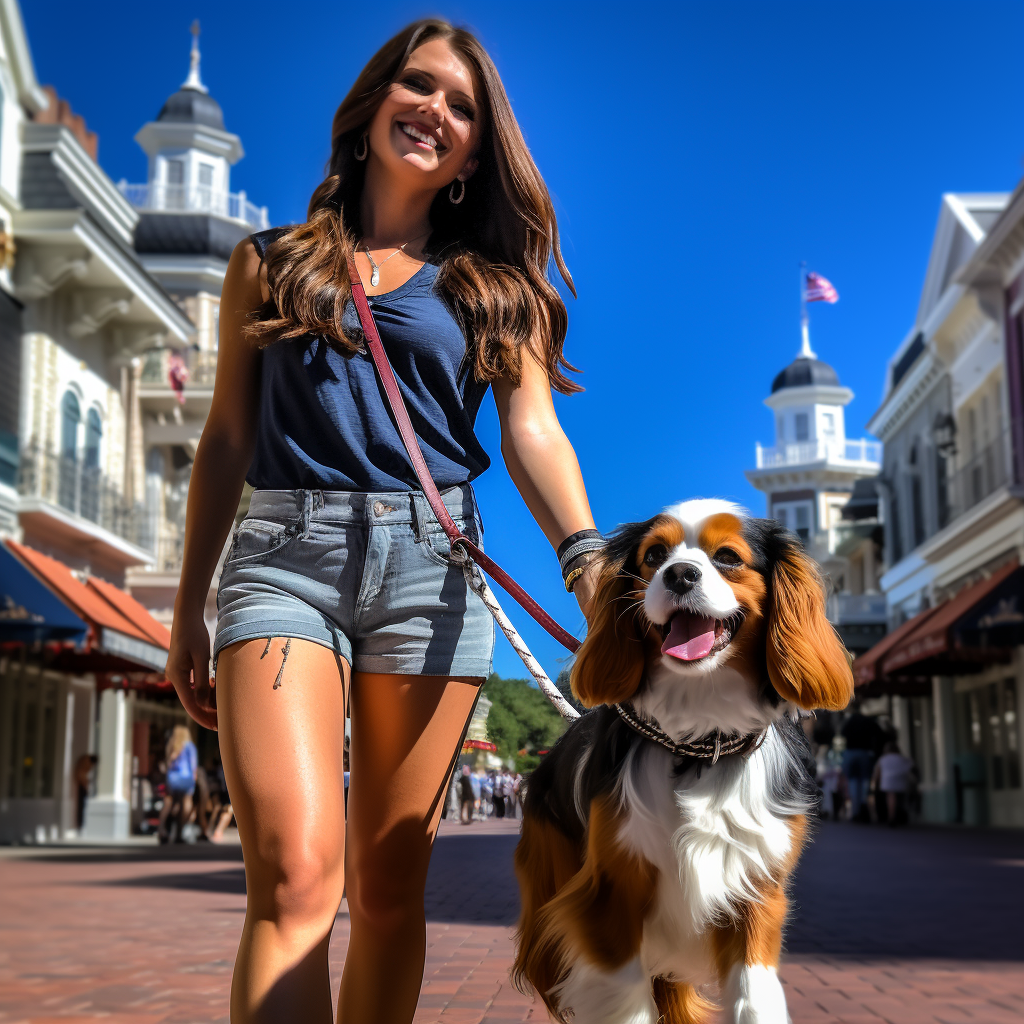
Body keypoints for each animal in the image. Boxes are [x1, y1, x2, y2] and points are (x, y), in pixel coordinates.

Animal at [512, 501, 856, 1024]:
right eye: (655, 555)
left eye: (728, 557)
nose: (678, 574)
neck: (700, 738)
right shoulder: (609, 899)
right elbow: (626, 1003)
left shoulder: (758, 893)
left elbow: (755, 998)